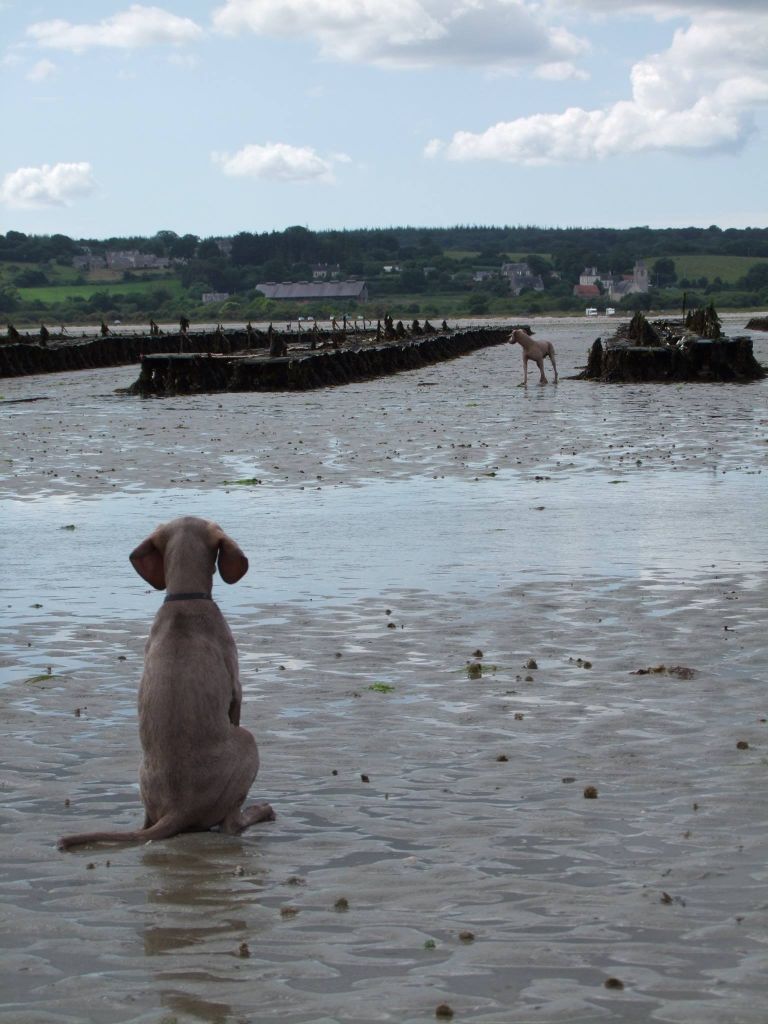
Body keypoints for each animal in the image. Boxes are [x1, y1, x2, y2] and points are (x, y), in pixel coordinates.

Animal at [57, 516, 274, 851]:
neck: (184, 598)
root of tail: (177, 809)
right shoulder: (236, 686)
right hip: (248, 742)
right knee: (231, 824)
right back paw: (260, 812)